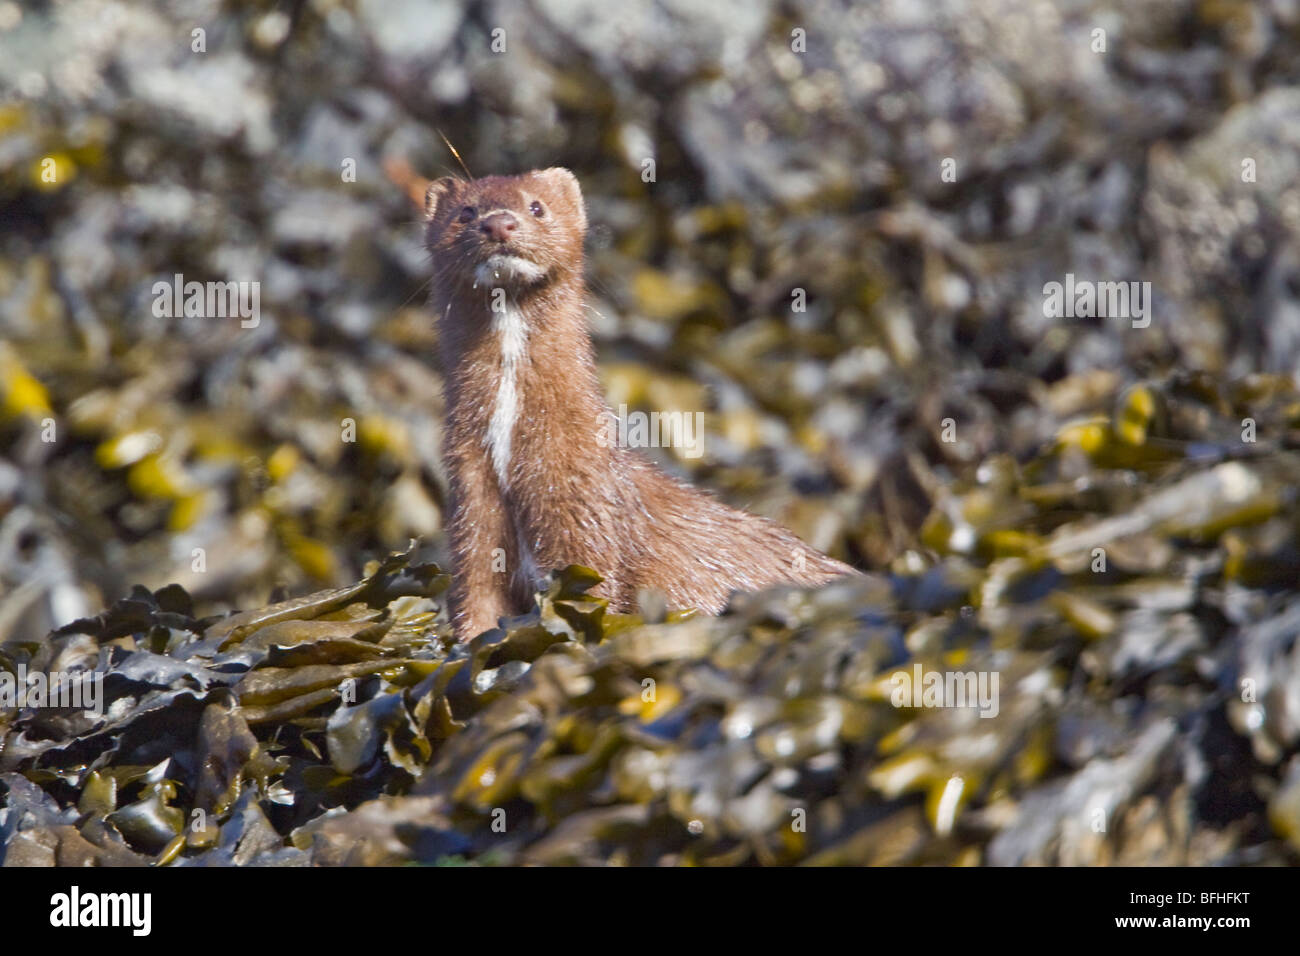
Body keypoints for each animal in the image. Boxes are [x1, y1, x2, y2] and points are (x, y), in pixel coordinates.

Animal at [421, 167, 857, 639]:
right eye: (467, 213)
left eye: (536, 206)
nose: (499, 224)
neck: (511, 449)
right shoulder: (472, 503)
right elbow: (477, 599)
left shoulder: (584, 504)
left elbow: (593, 592)